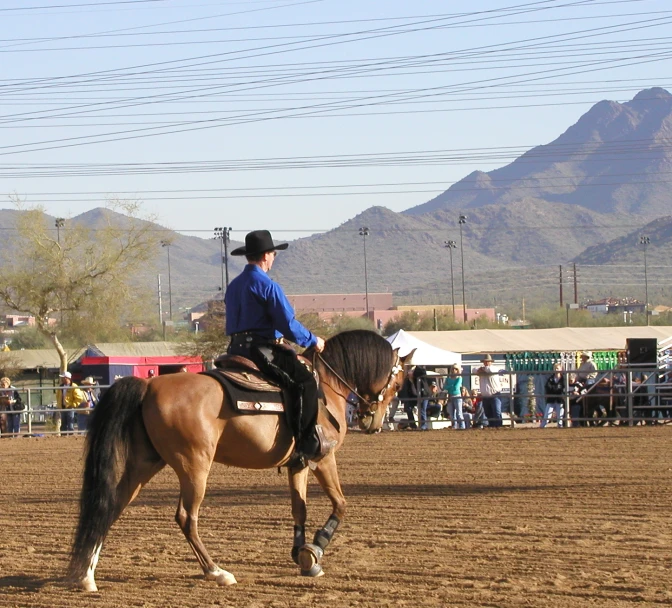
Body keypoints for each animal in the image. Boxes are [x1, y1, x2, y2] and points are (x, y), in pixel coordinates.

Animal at [67, 330, 410, 592]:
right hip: (194, 467)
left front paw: (302, 557)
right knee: (186, 518)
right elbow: (340, 504)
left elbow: (299, 508)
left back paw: (86, 576)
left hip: (144, 464)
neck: (325, 385)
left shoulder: (298, 463)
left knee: (109, 507)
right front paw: (314, 549)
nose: (373, 421)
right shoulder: (323, 457)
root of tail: (150, 384)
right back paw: (217, 571)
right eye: (398, 383)